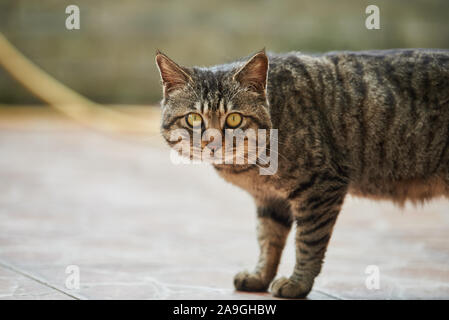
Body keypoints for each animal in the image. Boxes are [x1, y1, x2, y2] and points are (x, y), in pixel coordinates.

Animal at [155, 48, 448, 298]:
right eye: (193, 118)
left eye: (235, 119)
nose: (213, 142)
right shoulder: (270, 200)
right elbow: (268, 239)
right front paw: (260, 276)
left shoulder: (321, 188)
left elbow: (308, 242)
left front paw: (297, 284)